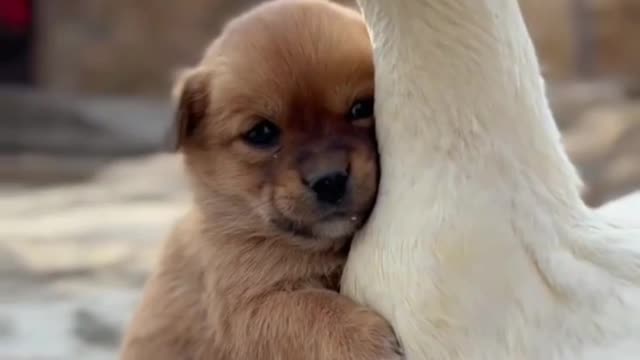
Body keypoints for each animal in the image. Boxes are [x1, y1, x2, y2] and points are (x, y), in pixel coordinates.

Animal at [119, 0, 400, 360]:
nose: (330, 180)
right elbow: (312, 309)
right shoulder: (250, 305)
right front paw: (363, 341)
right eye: (262, 133)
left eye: (362, 108)